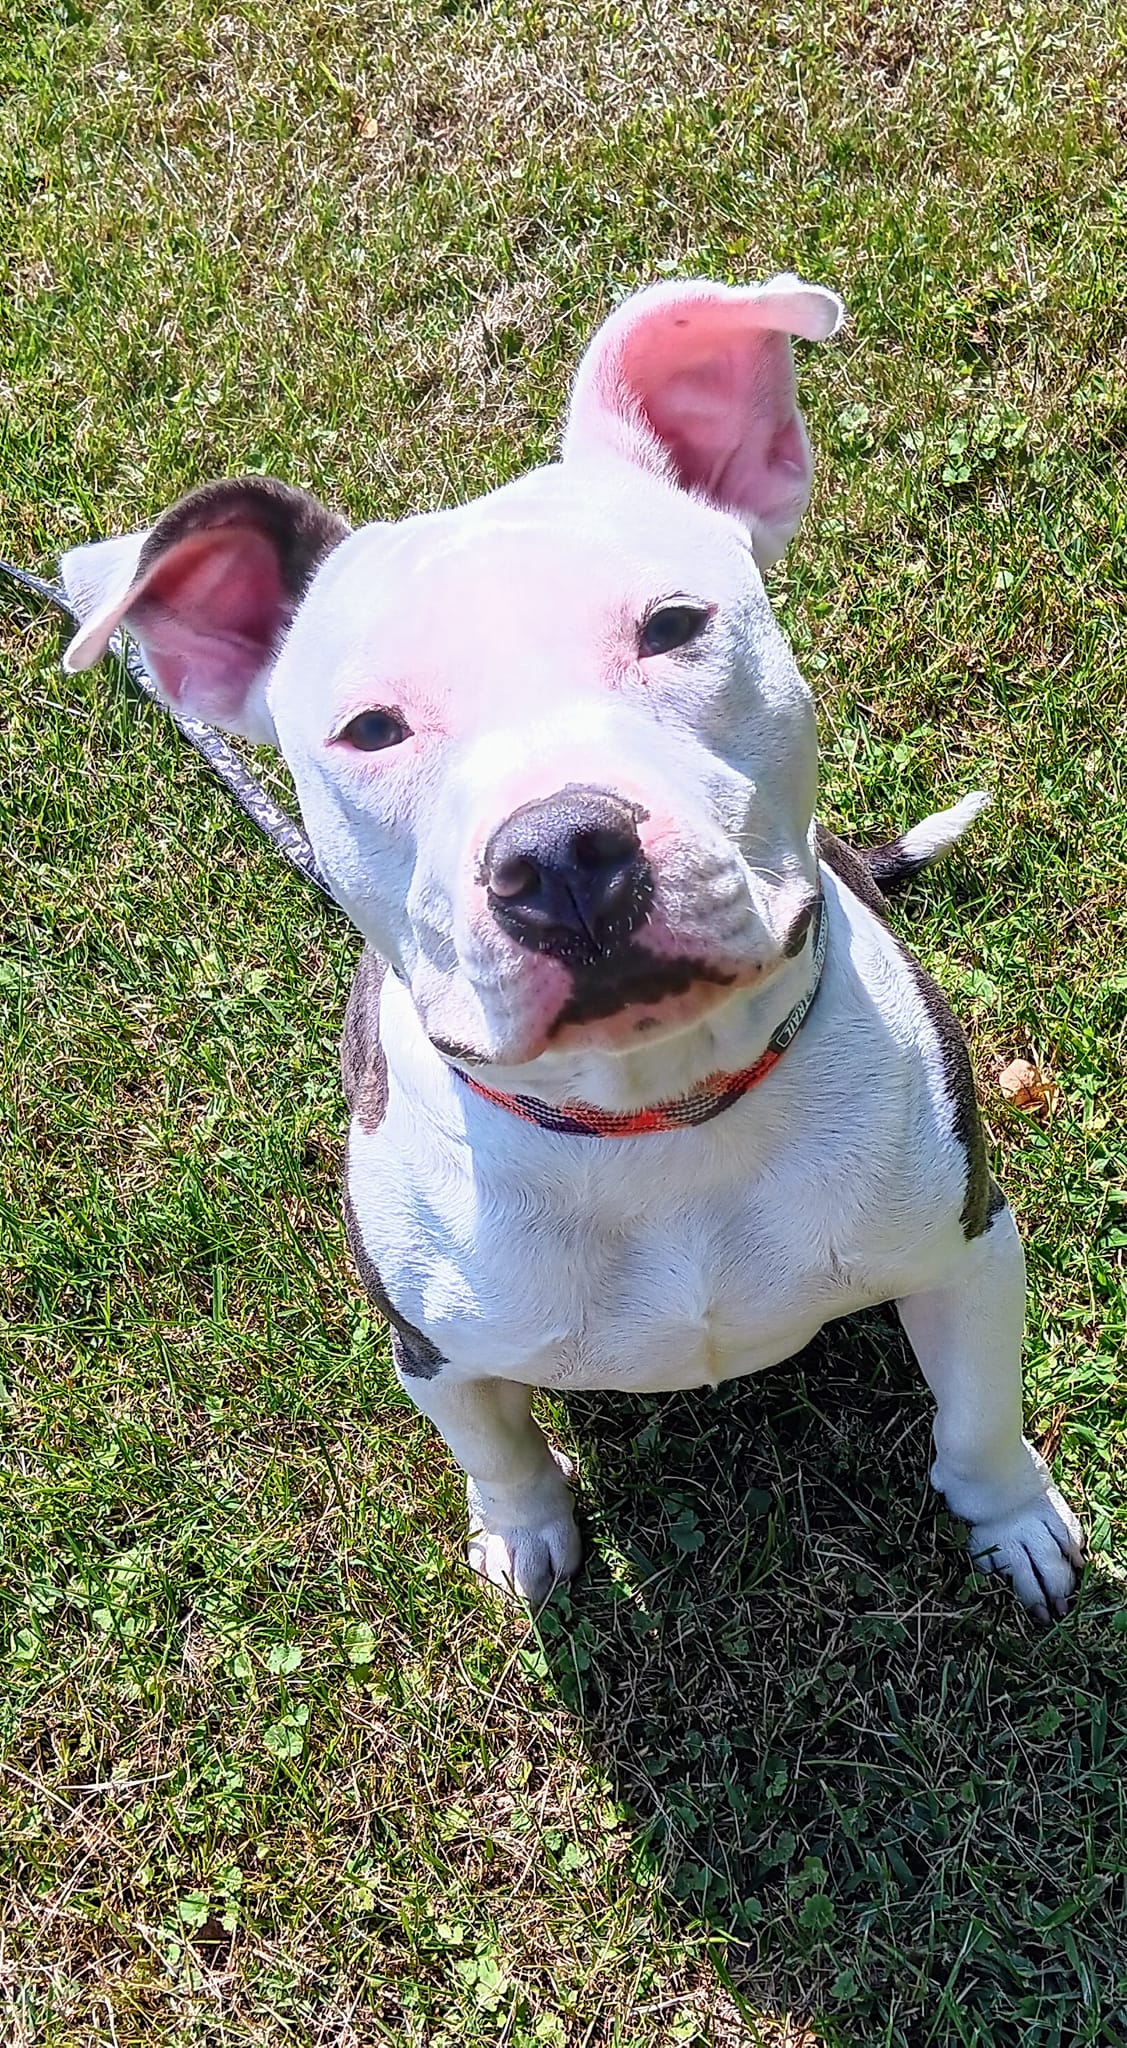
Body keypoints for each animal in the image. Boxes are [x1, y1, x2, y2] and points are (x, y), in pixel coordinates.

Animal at [61, 272, 1090, 1613]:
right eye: (371, 728)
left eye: (671, 625)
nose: (556, 852)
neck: (655, 1116)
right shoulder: (432, 1349)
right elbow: (495, 1448)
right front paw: (522, 1532)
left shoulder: (966, 1243)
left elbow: (975, 1417)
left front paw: (1010, 1519)